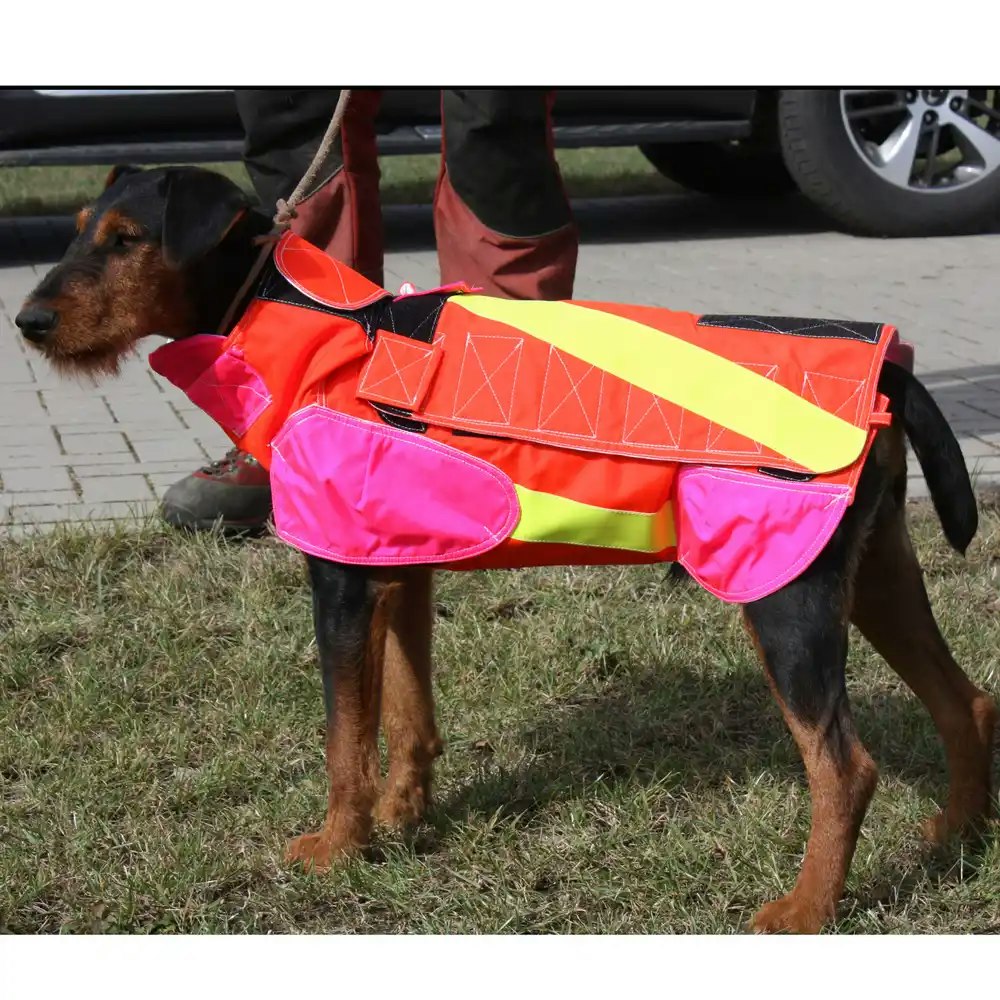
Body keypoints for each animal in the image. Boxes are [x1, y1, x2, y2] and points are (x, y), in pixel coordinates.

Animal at [15, 166, 1000, 936]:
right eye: (79, 231)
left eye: (126, 240)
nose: (28, 320)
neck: (310, 323)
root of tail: (893, 368)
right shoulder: (395, 566)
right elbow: (406, 713)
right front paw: (403, 816)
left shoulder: (338, 580)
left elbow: (344, 737)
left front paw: (339, 845)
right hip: (873, 578)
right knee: (967, 703)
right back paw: (958, 835)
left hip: (784, 597)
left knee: (846, 767)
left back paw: (807, 908)